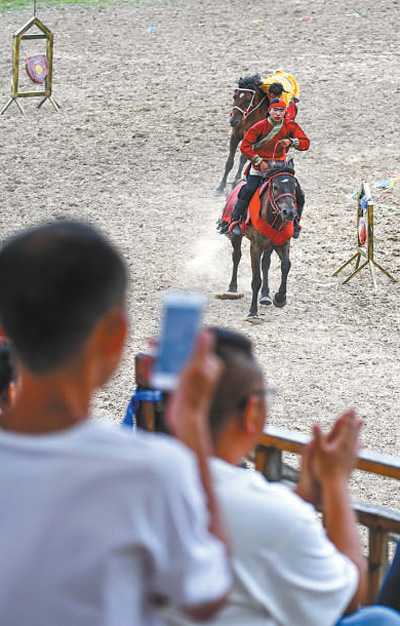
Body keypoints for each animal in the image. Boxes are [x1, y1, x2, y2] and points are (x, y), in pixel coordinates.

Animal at [222, 160, 296, 316]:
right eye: (275, 187)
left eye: (294, 186)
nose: (289, 213)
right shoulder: (255, 246)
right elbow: (256, 279)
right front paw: (253, 311)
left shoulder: (282, 243)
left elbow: (286, 265)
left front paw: (280, 298)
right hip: (236, 236)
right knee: (236, 256)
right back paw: (233, 287)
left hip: (269, 245)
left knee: (265, 263)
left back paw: (266, 295)